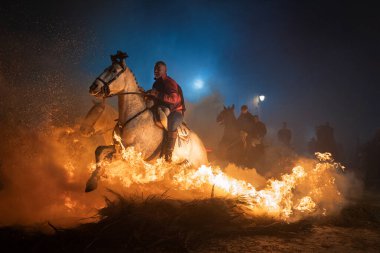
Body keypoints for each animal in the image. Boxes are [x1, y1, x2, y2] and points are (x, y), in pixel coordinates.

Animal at [84, 51, 208, 192]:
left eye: (114, 70)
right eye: (106, 68)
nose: (93, 87)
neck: (133, 117)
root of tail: (203, 147)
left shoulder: (130, 153)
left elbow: (109, 158)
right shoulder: (118, 147)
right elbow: (99, 150)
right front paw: (92, 181)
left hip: (196, 167)